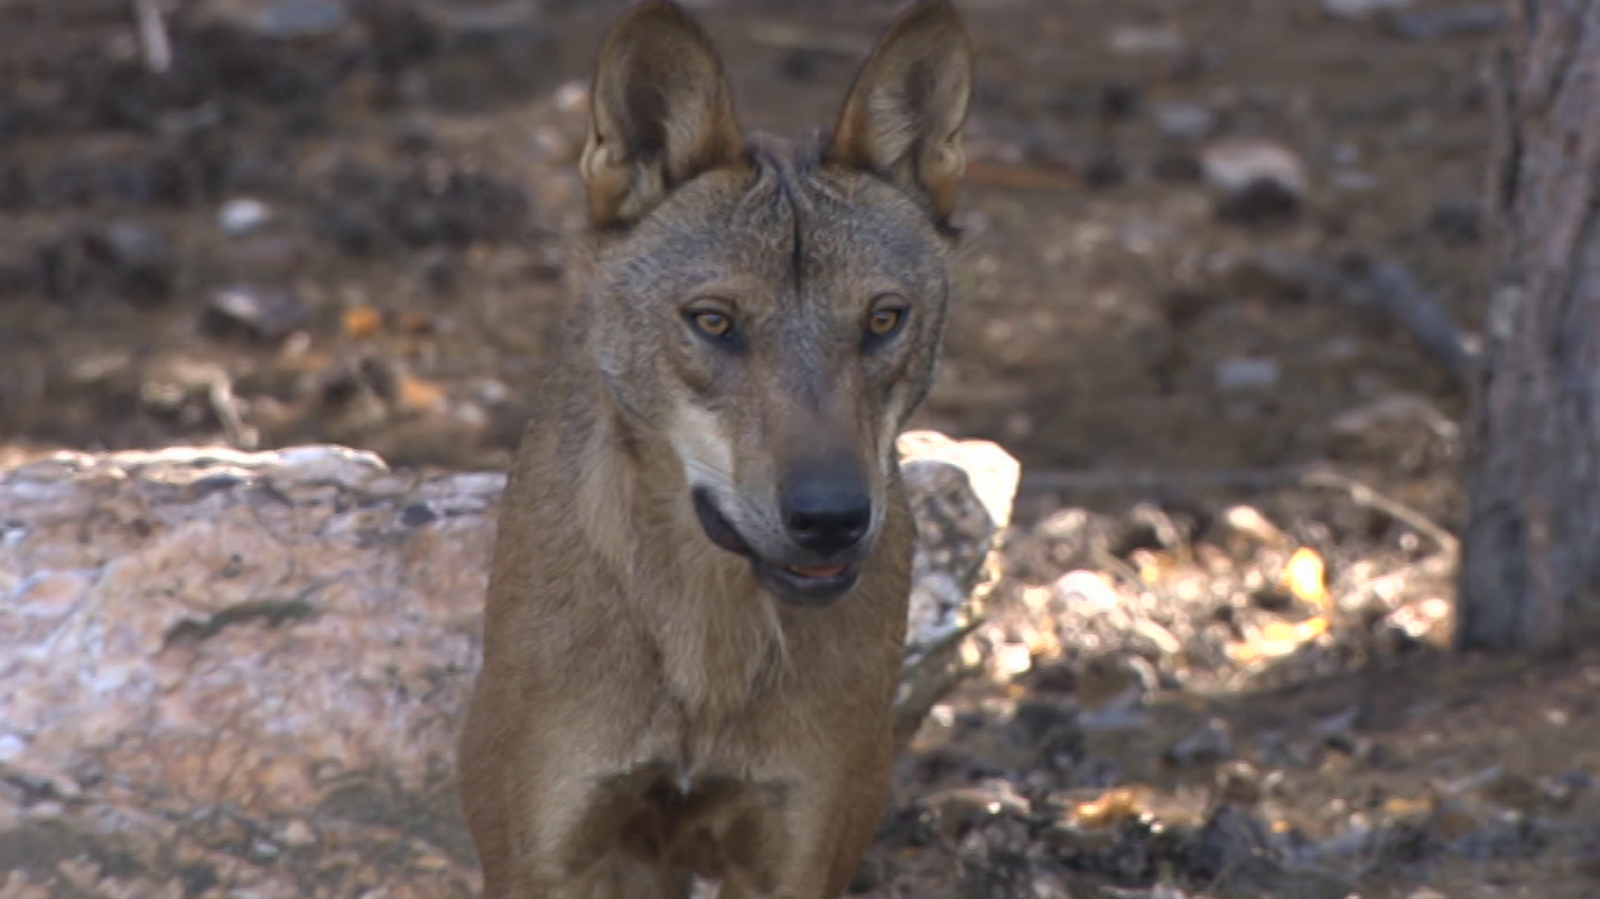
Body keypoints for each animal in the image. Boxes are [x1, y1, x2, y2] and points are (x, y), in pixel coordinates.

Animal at [454, 1, 972, 889]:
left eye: (882, 319)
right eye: (714, 321)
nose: (830, 518)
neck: (707, 651)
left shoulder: (800, 859)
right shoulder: (542, 860)